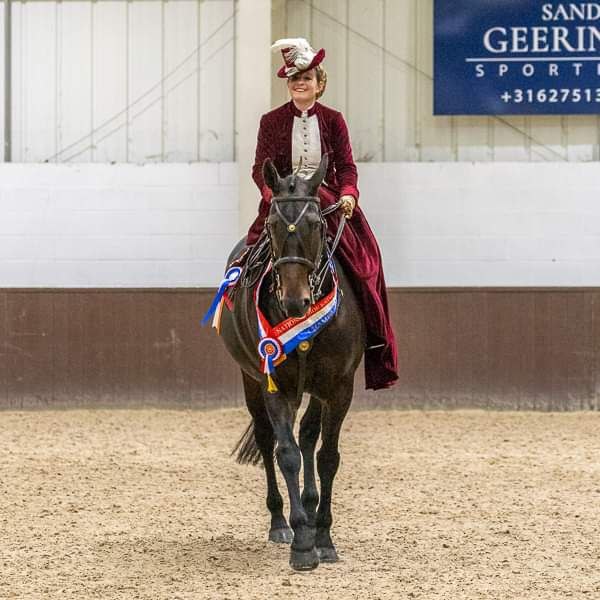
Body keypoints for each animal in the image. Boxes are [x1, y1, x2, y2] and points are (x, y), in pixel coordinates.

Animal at [218, 156, 364, 572]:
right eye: (271, 225)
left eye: (317, 223)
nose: (296, 302)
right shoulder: (276, 386)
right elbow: (287, 455)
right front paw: (301, 542)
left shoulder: (339, 388)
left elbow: (327, 456)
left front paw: (324, 538)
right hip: (251, 380)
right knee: (268, 440)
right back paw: (280, 523)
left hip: (315, 390)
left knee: (310, 435)